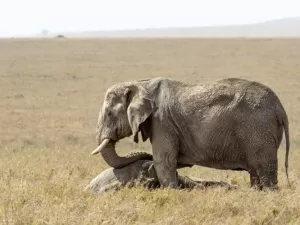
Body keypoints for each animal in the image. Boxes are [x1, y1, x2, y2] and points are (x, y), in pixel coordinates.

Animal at [90, 77, 290, 190]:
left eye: (109, 114)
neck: (140, 84)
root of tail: (280, 108)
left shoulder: (162, 122)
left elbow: (164, 162)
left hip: (259, 131)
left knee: (265, 170)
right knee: (255, 172)